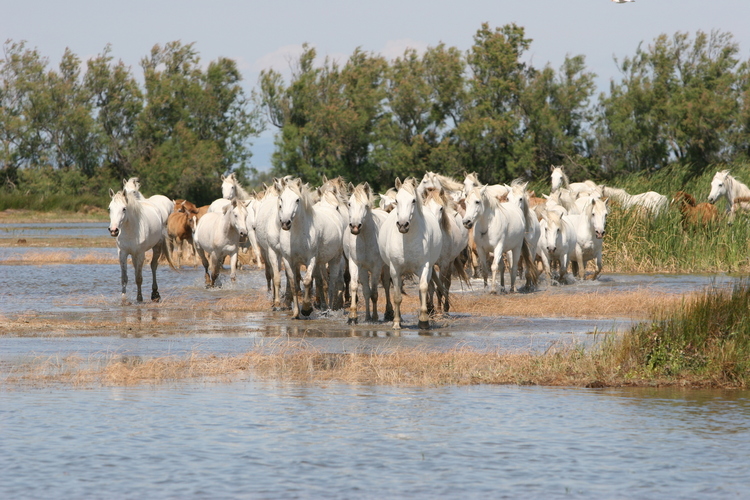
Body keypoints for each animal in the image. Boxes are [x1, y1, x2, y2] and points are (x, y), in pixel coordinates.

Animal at [278, 179, 345, 319]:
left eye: (297, 200)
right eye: (281, 199)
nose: (285, 223)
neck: (297, 233)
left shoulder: (311, 259)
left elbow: (307, 281)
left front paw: (306, 309)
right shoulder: (288, 260)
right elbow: (293, 284)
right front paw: (296, 313)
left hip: (335, 259)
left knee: (332, 283)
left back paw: (329, 309)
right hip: (320, 262)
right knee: (321, 282)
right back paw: (324, 307)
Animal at [343, 182, 392, 324]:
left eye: (365, 205)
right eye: (349, 204)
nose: (355, 227)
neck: (364, 238)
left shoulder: (376, 267)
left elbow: (374, 292)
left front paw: (375, 317)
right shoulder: (355, 264)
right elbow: (356, 287)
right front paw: (353, 316)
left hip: (386, 267)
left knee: (386, 285)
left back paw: (389, 313)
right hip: (364, 270)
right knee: (366, 291)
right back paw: (367, 316)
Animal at [378, 177, 444, 330]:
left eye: (413, 200)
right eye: (396, 200)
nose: (403, 225)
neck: (407, 239)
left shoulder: (424, 266)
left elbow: (423, 289)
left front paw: (424, 320)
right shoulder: (395, 269)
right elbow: (397, 296)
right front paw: (396, 322)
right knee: (388, 286)